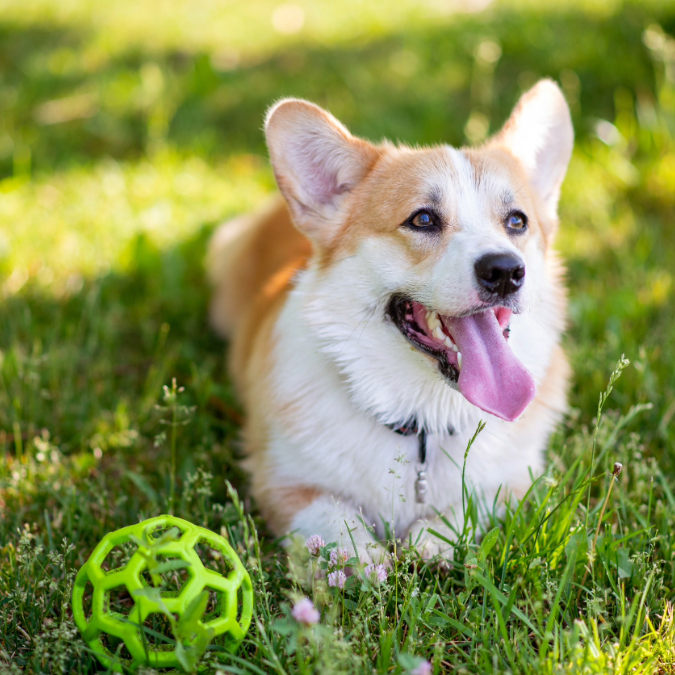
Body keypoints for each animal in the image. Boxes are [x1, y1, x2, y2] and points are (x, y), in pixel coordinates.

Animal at [209, 80, 572, 564]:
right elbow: (336, 522)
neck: (421, 422)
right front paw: (369, 563)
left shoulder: (515, 481)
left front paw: (429, 541)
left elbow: (471, 503)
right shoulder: (284, 484)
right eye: (423, 219)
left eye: (517, 221)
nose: (505, 271)